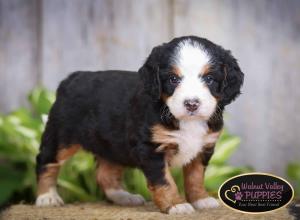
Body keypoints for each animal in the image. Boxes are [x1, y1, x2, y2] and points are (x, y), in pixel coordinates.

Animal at [35, 36, 244, 215]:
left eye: (209, 79)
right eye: (173, 79)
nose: (192, 103)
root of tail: (73, 77)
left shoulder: (204, 147)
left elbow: (196, 176)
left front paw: (201, 199)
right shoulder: (151, 148)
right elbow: (164, 181)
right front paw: (175, 205)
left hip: (112, 146)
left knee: (105, 174)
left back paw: (123, 197)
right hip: (62, 136)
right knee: (46, 161)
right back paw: (47, 197)